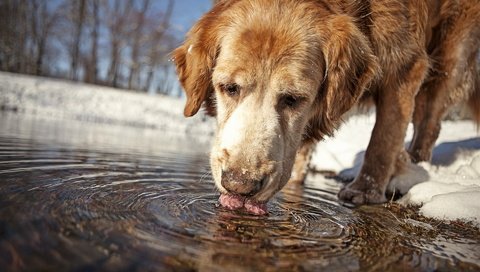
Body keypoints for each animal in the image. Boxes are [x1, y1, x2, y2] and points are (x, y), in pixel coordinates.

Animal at [173, 0, 480, 215]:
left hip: (450, 53)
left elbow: (383, 138)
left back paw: (414, 165)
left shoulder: (406, 65)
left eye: (292, 99)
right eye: (229, 88)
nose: (240, 185)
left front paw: (364, 190)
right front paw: (295, 182)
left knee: (430, 121)